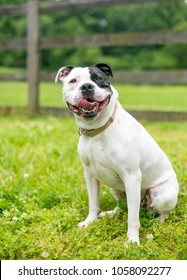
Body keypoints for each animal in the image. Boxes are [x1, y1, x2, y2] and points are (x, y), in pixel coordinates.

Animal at [54, 62, 179, 244]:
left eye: (99, 79)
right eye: (73, 81)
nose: (87, 86)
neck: (97, 129)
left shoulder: (131, 176)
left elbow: (133, 219)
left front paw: (133, 241)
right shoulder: (90, 174)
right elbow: (93, 202)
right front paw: (89, 221)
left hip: (161, 194)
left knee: (162, 213)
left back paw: (156, 222)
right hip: (118, 189)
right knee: (125, 206)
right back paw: (110, 213)